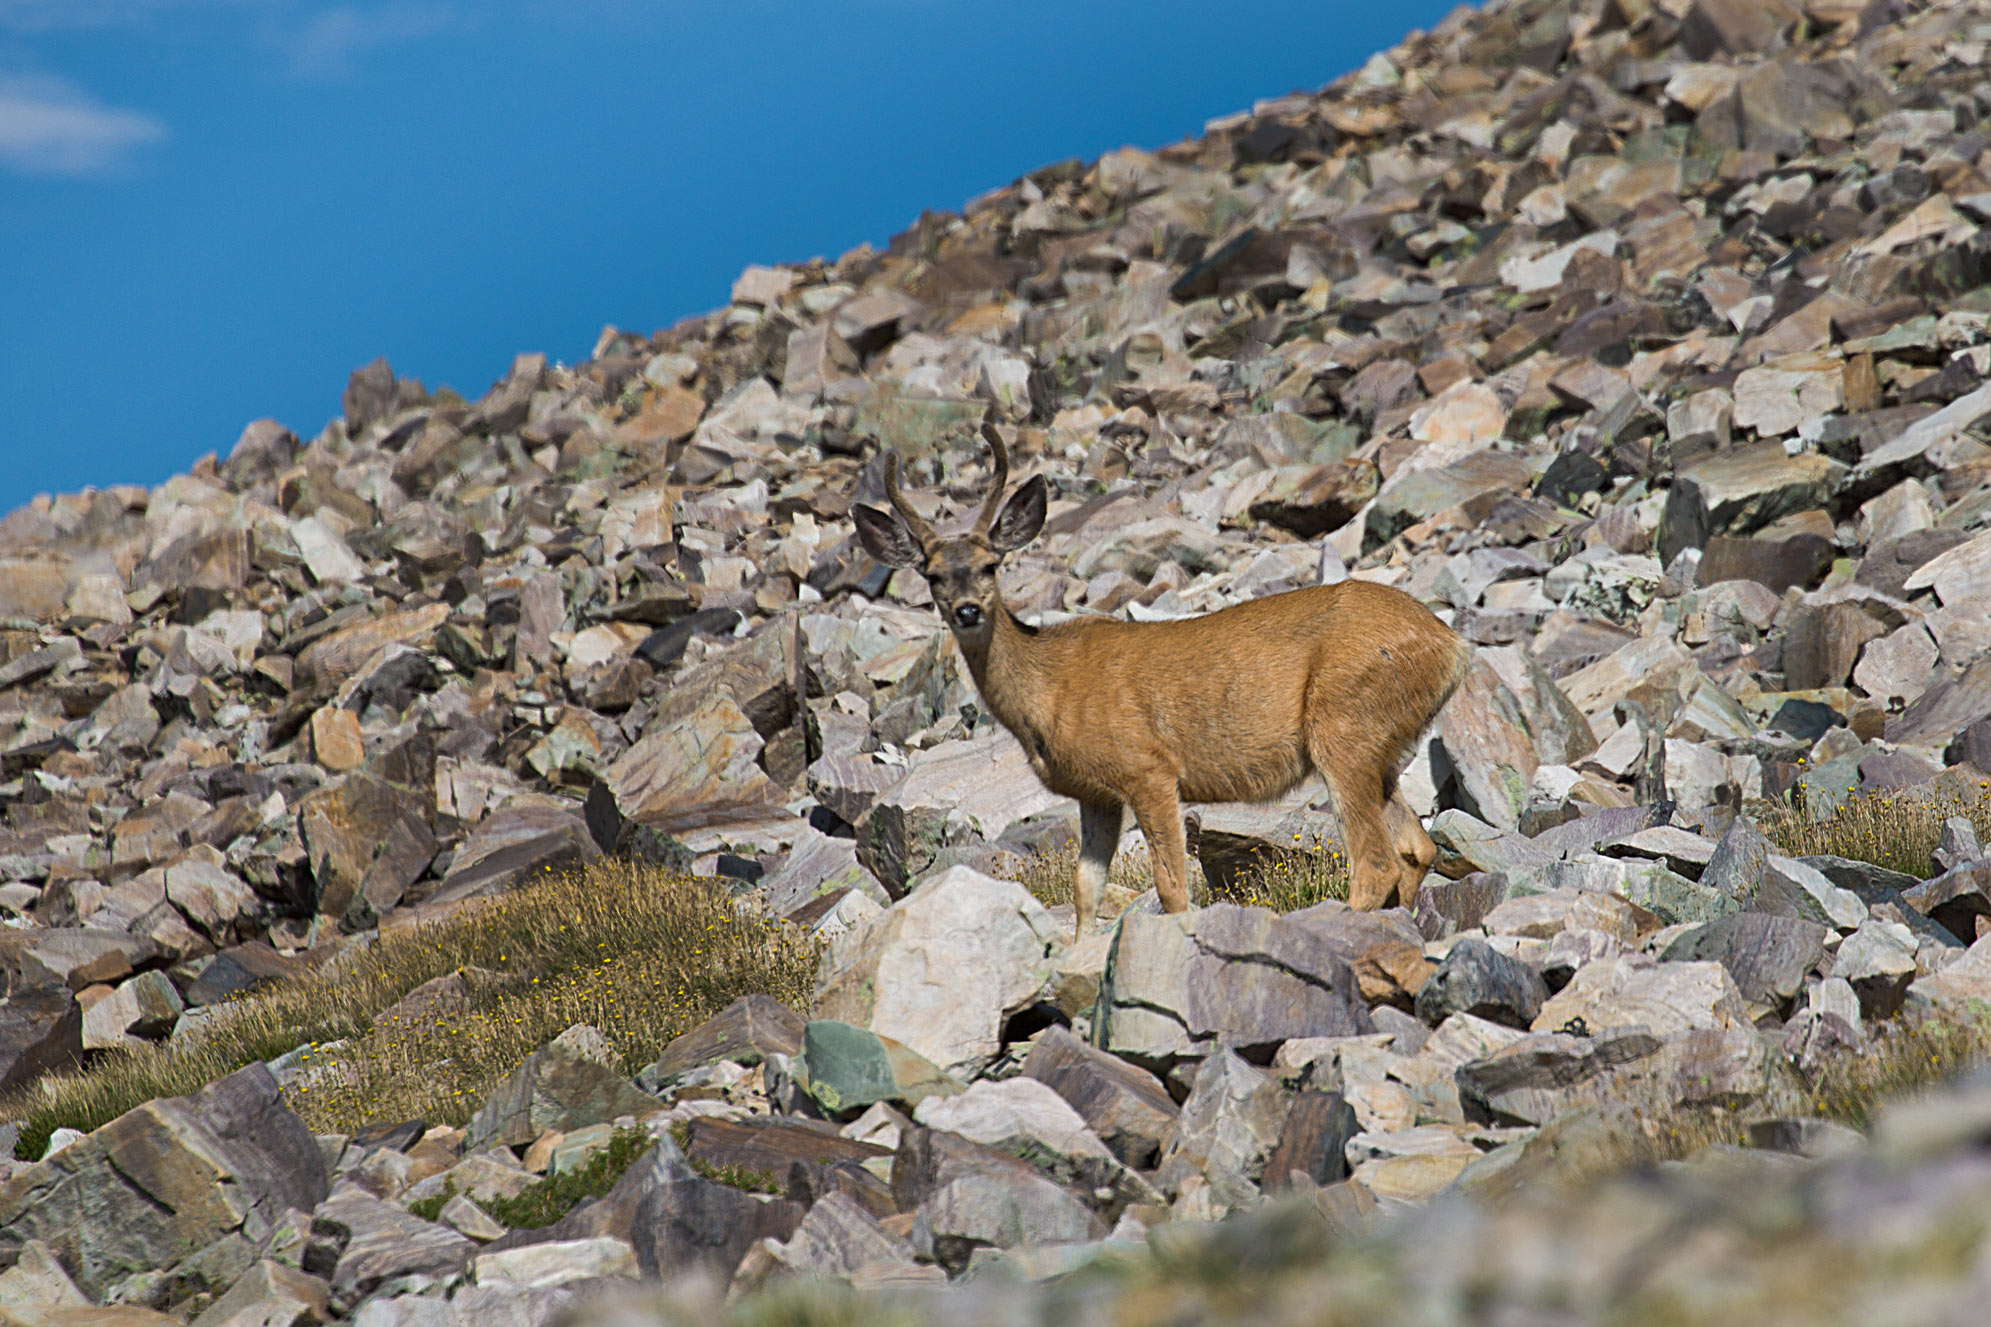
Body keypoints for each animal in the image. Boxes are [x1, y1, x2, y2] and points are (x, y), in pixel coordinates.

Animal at [853, 424, 1473, 938]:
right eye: (931, 574)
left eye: (990, 565)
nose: (966, 611)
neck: (1049, 688)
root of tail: (1451, 645)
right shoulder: (1096, 795)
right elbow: (1086, 889)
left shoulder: (1148, 768)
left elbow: (1173, 888)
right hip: (1380, 747)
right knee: (1416, 847)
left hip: (1343, 724)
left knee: (1376, 861)